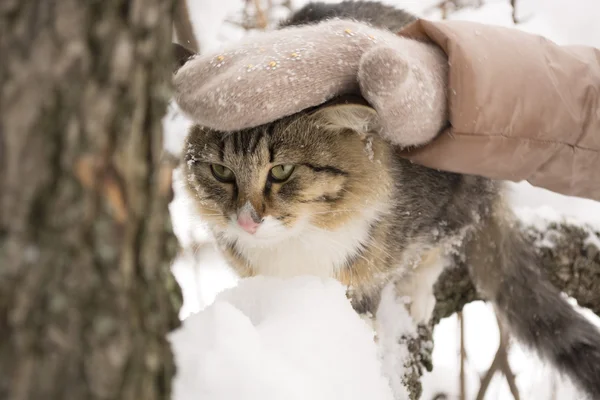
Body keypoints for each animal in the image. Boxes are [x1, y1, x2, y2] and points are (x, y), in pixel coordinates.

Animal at [173, 2, 600, 396]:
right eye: (221, 172)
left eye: (281, 171)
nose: (247, 220)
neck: (299, 244)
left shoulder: (435, 205)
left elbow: (412, 265)